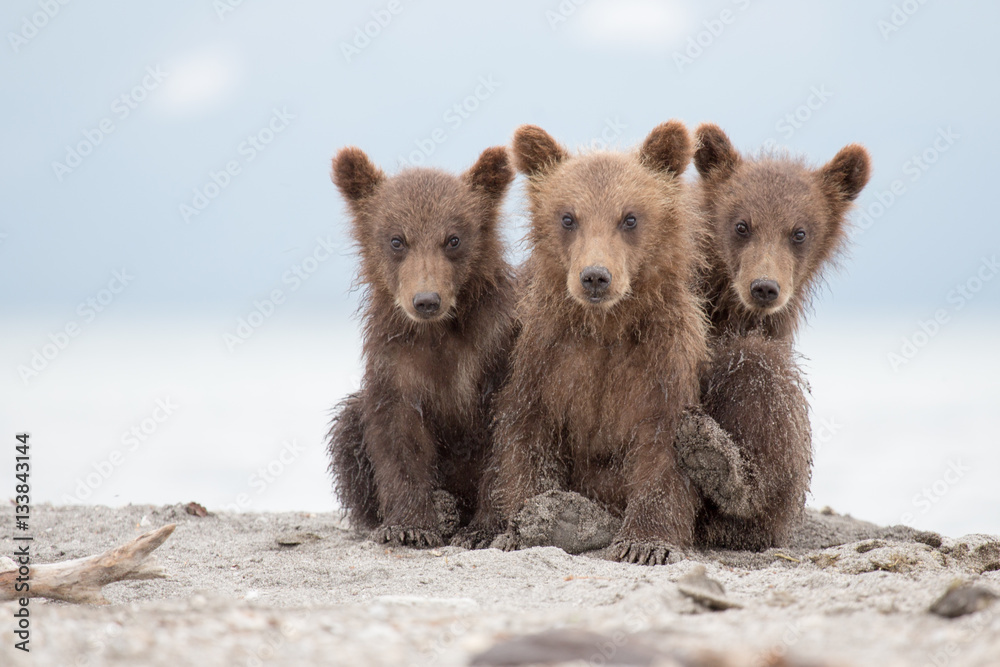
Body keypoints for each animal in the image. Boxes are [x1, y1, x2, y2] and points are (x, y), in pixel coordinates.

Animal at [325, 144, 517, 548]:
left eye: (453, 239)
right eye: (397, 240)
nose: (427, 300)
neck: (438, 332)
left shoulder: (495, 348)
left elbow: (505, 434)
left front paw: (483, 529)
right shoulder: (396, 358)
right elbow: (398, 437)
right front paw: (409, 525)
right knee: (349, 426)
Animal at [488, 121, 709, 565]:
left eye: (630, 217)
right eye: (568, 217)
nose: (595, 276)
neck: (607, 327)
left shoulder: (661, 360)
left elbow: (663, 447)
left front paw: (645, 543)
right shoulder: (546, 358)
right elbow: (528, 436)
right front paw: (523, 527)